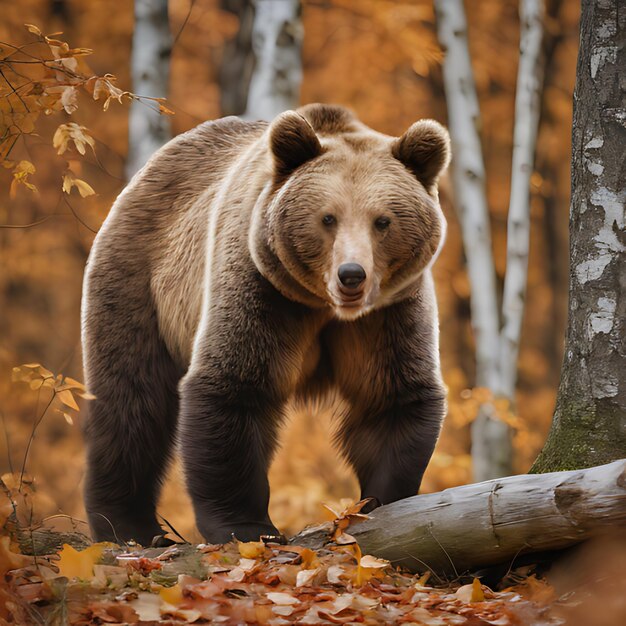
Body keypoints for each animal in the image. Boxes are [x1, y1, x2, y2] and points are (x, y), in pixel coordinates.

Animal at [83, 102, 448, 540]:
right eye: (328, 218)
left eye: (383, 221)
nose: (351, 274)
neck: (324, 307)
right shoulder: (261, 288)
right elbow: (235, 386)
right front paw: (246, 525)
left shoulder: (388, 312)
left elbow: (391, 395)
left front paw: (381, 500)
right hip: (141, 279)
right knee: (132, 400)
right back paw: (127, 525)